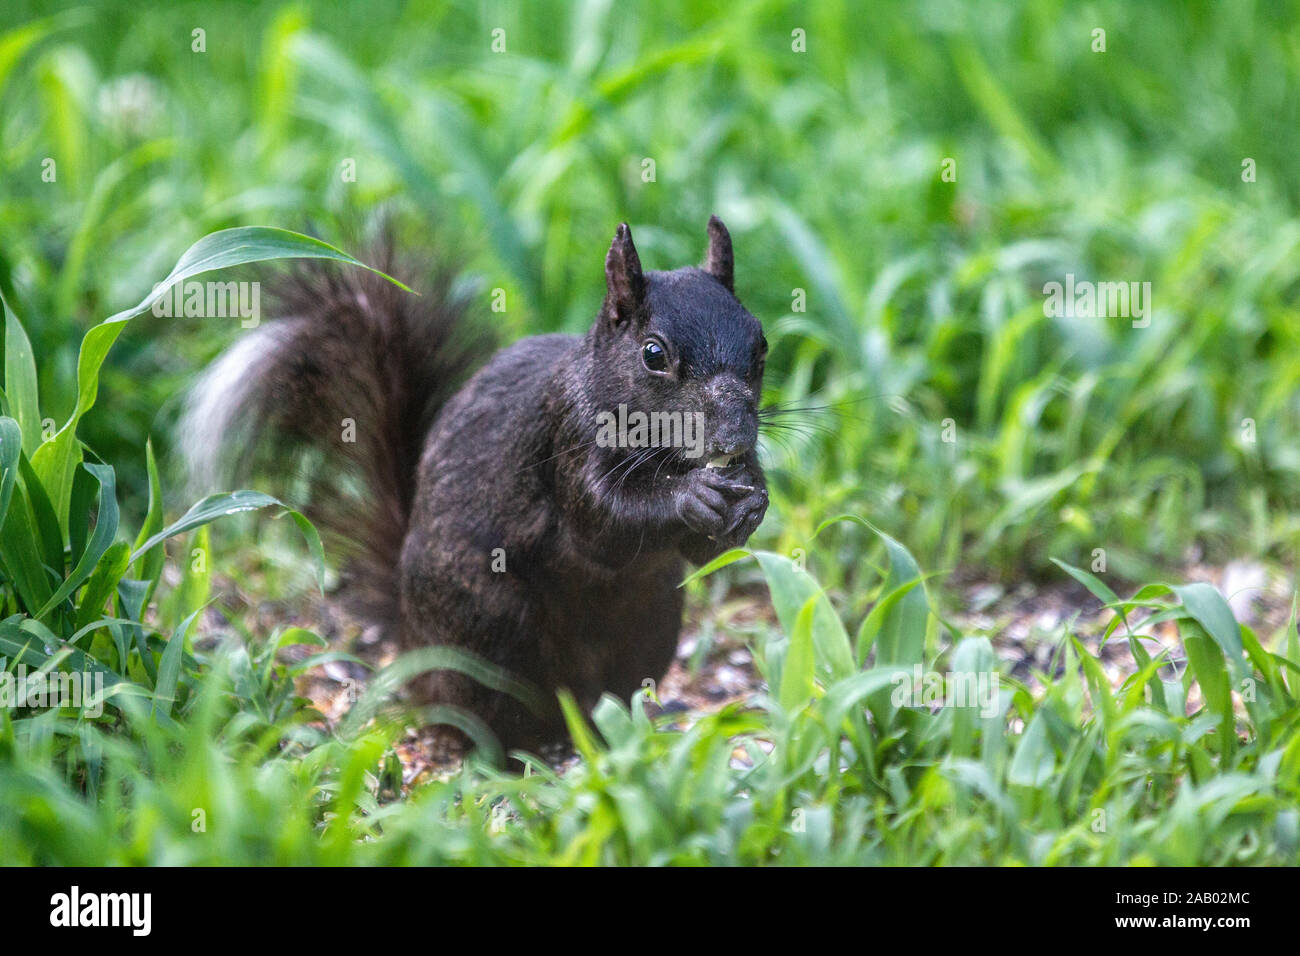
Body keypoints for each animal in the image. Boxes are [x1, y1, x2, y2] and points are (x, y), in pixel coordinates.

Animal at [188, 218, 764, 754]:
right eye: (652, 354)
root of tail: (410, 642)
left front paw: (753, 503)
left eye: (760, 348)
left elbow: (701, 549)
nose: (735, 434)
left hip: (652, 619)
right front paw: (691, 496)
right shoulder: (565, 435)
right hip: (486, 628)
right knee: (478, 713)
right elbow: (600, 525)